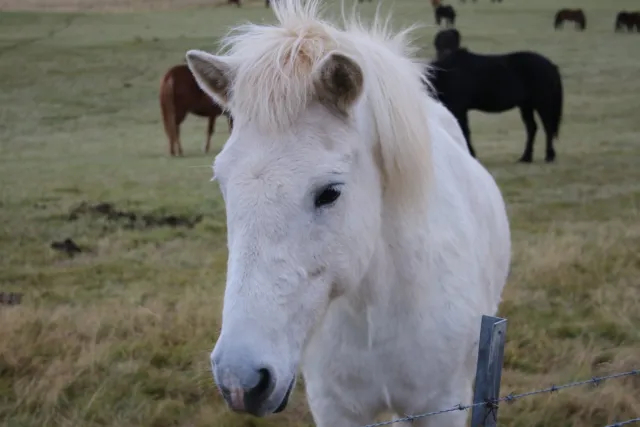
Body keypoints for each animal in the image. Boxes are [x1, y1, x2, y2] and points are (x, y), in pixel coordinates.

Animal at [184, 0, 512, 425]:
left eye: (330, 193)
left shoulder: (444, 405)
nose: (240, 380)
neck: (374, 312)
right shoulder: (334, 408)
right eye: (223, 184)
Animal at [427, 43, 563, 162]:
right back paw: (526, 158)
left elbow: (464, 130)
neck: (446, 74)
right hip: (526, 105)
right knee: (532, 128)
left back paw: (549, 156)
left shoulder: (459, 108)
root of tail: (550, 65)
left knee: (548, 127)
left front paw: (471, 154)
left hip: (542, 104)